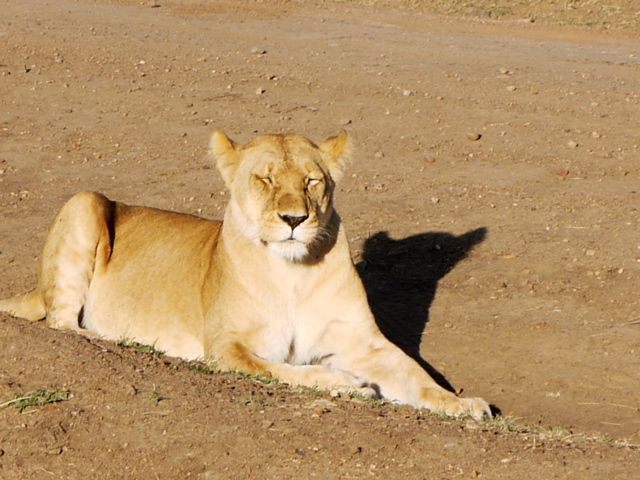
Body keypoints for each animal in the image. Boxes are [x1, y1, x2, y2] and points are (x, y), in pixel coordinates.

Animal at [0, 130, 491, 420]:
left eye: (312, 181)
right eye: (265, 179)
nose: (294, 219)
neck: (294, 273)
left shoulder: (362, 343)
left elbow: (415, 374)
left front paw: (464, 404)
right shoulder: (228, 347)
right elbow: (286, 371)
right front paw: (348, 384)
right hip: (85, 201)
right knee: (64, 324)